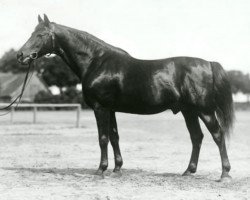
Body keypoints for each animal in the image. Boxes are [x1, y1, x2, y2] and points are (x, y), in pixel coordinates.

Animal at [17, 14, 234, 181]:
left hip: (205, 111)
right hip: (189, 112)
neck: (96, 61)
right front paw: (117, 169)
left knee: (217, 135)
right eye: (31, 33)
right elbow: (114, 137)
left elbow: (103, 138)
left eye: (40, 35)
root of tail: (208, 64)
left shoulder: (100, 108)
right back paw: (188, 171)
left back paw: (225, 174)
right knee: (196, 137)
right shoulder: (111, 109)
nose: (21, 55)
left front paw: (101, 169)